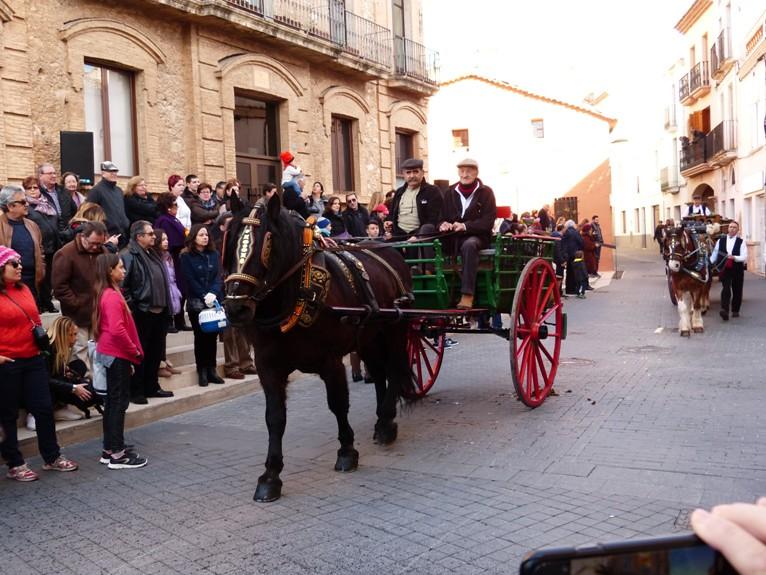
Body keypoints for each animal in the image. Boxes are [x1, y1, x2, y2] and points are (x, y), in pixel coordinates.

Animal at [222, 192, 416, 500]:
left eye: (267, 243)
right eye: (230, 243)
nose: (235, 308)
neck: (297, 293)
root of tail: (388, 250)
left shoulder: (330, 361)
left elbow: (338, 404)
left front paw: (347, 451)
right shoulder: (268, 367)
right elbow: (274, 417)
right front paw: (270, 475)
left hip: (394, 328)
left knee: (395, 368)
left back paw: (386, 423)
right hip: (369, 336)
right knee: (378, 372)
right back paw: (380, 418)